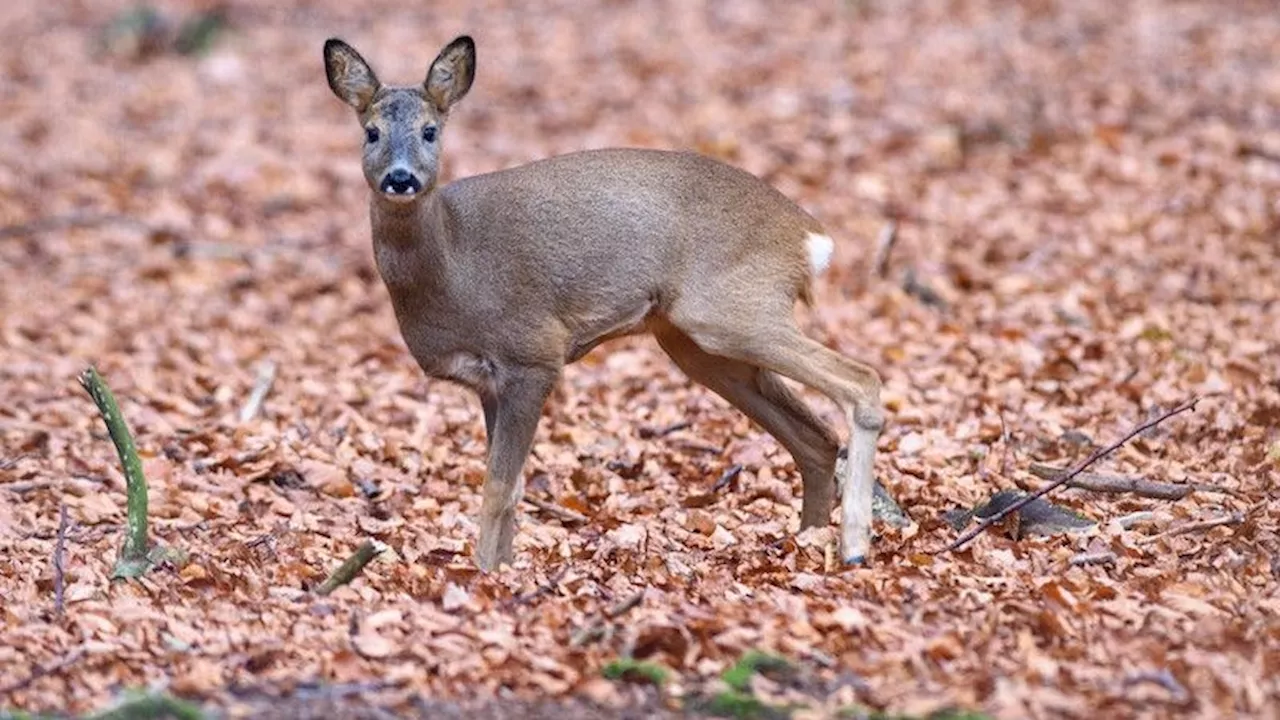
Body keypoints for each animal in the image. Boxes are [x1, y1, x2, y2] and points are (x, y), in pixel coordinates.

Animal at [322, 35, 880, 571]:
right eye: (371, 132)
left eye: (430, 131)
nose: (400, 178)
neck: (454, 265)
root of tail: (810, 237)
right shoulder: (488, 382)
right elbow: (513, 486)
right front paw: (502, 571)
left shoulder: (533, 351)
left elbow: (499, 487)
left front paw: (486, 576)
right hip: (697, 343)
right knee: (817, 438)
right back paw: (810, 543)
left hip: (729, 311)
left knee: (861, 381)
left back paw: (853, 545)